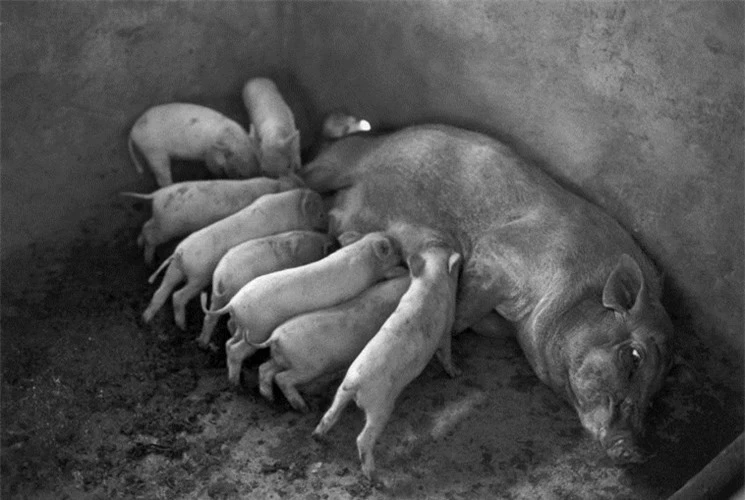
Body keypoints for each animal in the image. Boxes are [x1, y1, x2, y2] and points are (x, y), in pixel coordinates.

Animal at [300, 124, 676, 464]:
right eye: (634, 357)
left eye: (656, 394)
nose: (636, 451)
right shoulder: (497, 254)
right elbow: (462, 309)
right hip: (337, 161)